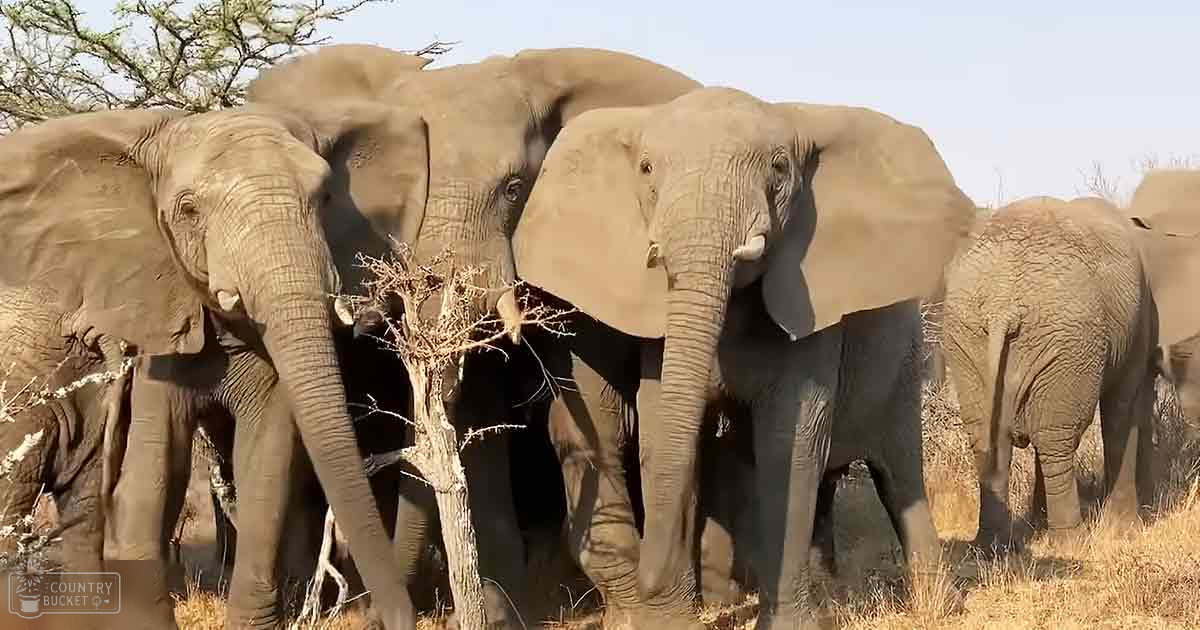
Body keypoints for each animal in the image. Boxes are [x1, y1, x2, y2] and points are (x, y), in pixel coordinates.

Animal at [0, 104, 427, 629]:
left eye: (325, 198)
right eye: (189, 211)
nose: (385, 617)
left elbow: (266, 457)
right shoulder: (148, 320)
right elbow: (155, 464)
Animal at [512, 87, 974, 629]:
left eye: (779, 168)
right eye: (645, 168)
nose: (644, 581)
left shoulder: (809, 300)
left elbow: (791, 440)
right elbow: (666, 430)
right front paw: (670, 622)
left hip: (905, 355)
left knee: (898, 471)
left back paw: (940, 606)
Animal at [941, 196, 1158, 551]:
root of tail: (1002, 305)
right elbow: (1122, 411)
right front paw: (1125, 531)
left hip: (967, 337)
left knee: (993, 437)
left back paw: (992, 545)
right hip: (1067, 338)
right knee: (1057, 438)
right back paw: (1071, 543)